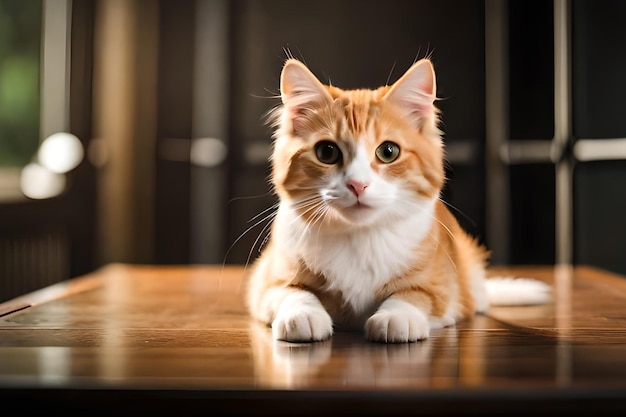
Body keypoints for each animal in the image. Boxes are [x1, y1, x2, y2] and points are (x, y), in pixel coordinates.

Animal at [244, 57, 544, 342]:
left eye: (388, 152)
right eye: (327, 152)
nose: (357, 184)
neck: (360, 237)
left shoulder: (440, 286)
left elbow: (415, 294)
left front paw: (396, 316)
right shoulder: (267, 277)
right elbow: (291, 291)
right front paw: (303, 313)